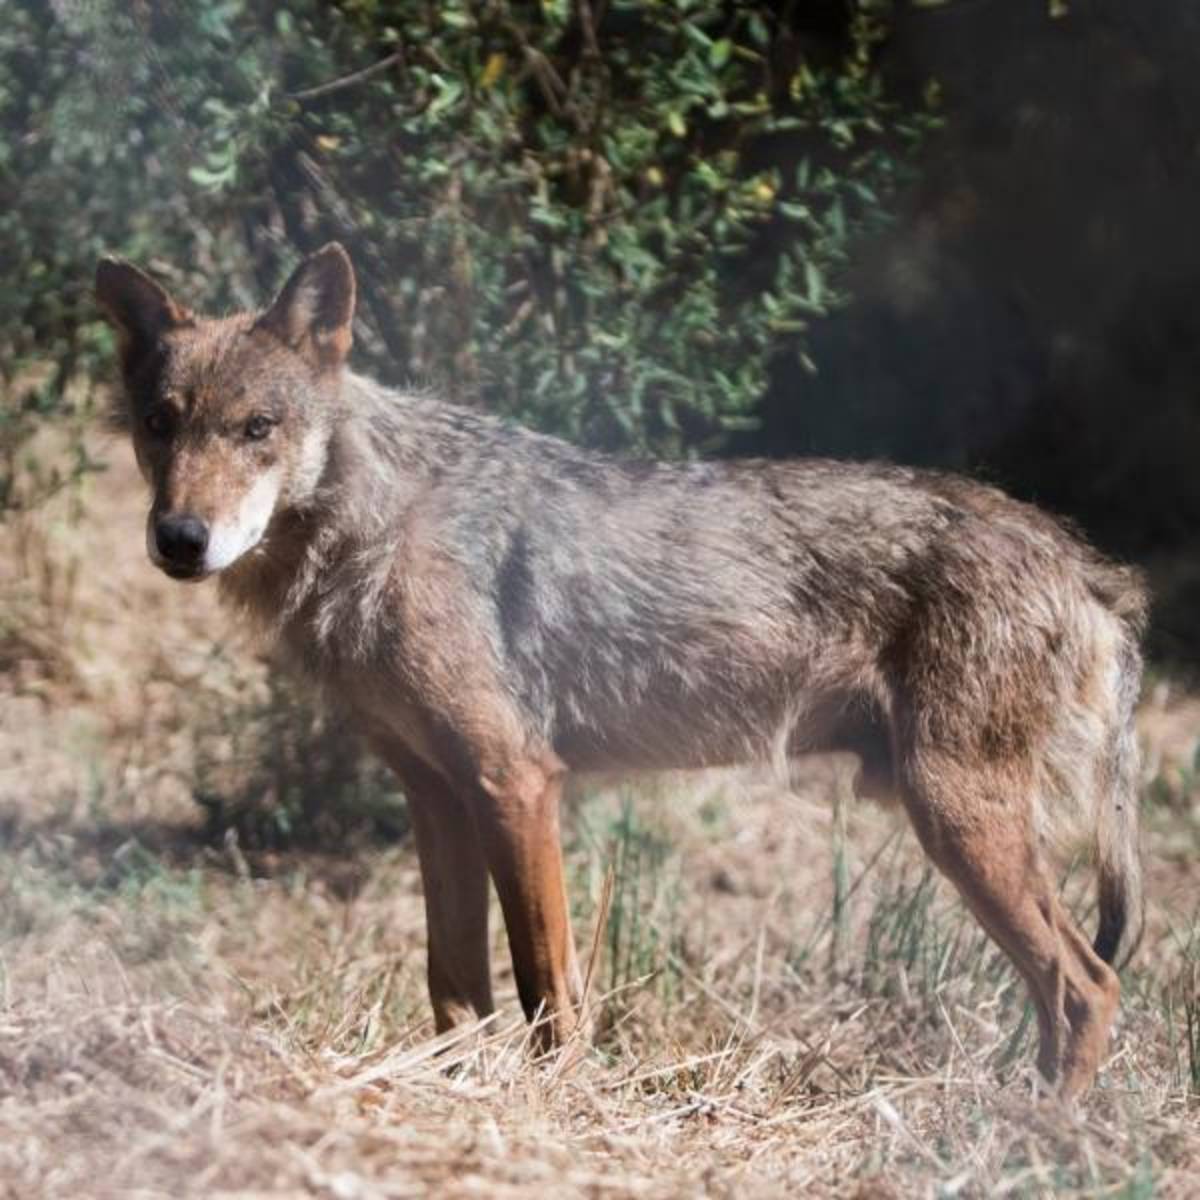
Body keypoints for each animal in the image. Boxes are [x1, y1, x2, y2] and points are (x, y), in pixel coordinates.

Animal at [96, 243, 1146, 1098]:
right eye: (160, 424)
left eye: (257, 428)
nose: (180, 539)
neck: (375, 528)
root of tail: (1087, 565)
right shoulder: (437, 797)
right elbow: (454, 988)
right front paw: (463, 1091)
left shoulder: (516, 783)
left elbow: (546, 988)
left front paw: (555, 1102)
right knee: (1072, 992)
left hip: (959, 824)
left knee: (1088, 987)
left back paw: (1030, 1139)